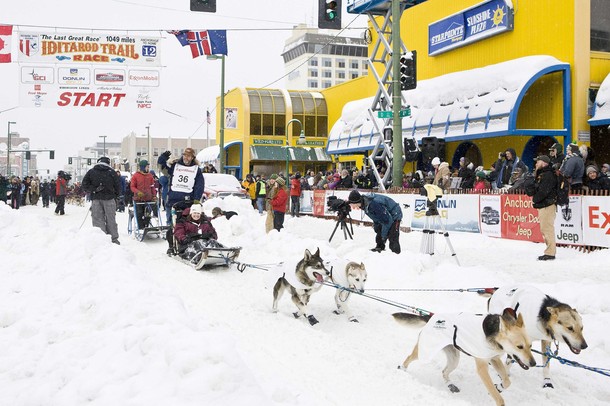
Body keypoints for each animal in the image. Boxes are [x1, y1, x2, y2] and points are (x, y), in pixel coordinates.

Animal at [394, 310, 532, 404]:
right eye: (520, 346)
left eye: (530, 345)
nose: (533, 363)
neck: (495, 334)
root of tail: (431, 317)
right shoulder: (482, 368)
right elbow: (499, 398)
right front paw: (497, 394)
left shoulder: (494, 358)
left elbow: (507, 381)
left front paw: (499, 387)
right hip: (425, 350)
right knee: (409, 357)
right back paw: (402, 369)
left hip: (454, 359)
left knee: (444, 372)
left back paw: (450, 385)